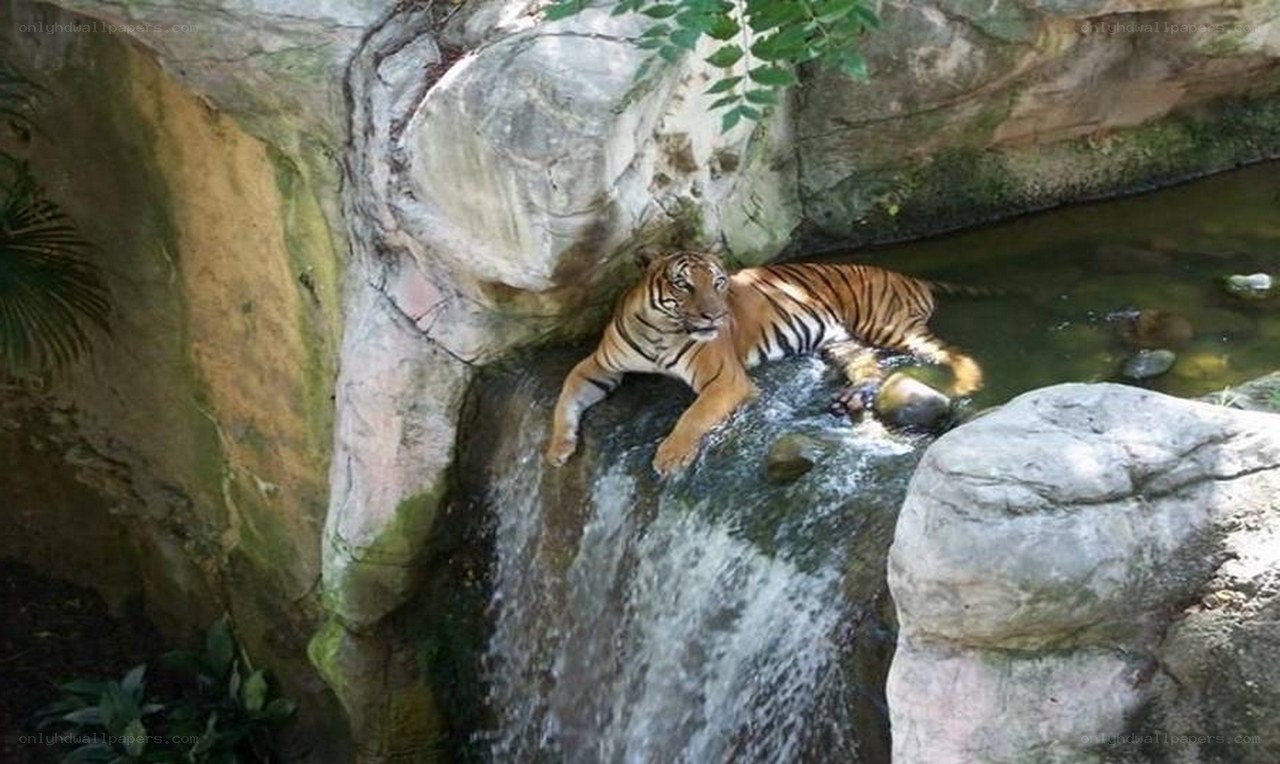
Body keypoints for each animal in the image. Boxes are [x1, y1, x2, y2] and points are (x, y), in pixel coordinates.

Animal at [545, 249, 984, 476]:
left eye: (718, 282)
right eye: (684, 285)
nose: (715, 316)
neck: (662, 329)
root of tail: (909, 276)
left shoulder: (725, 380)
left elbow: (693, 415)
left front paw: (671, 456)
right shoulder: (597, 366)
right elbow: (564, 397)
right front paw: (557, 449)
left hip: (888, 325)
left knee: (955, 352)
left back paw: (967, 383)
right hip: (843, 343)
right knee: (871, 368)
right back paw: (851, 400)